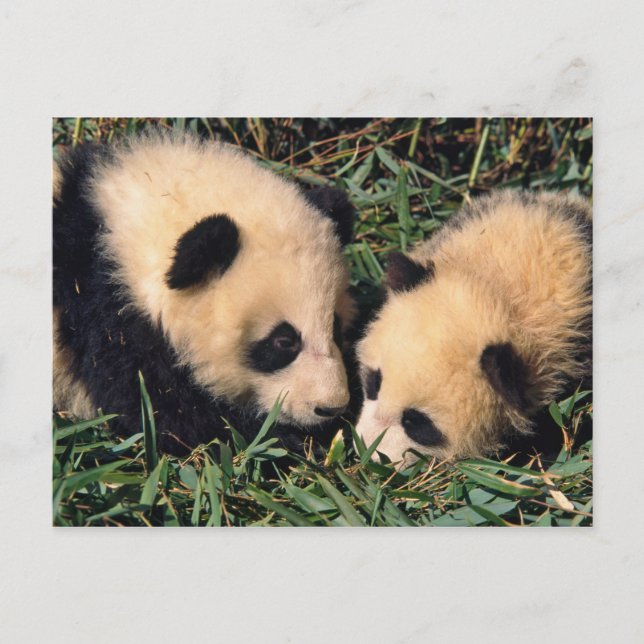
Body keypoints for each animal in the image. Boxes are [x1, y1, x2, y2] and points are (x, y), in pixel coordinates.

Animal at [53, 133, 357, 456]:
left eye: (335, 327)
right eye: (284, 341)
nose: (331, 407)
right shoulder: (105, 316)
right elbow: (167, 415)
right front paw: (290, 442)